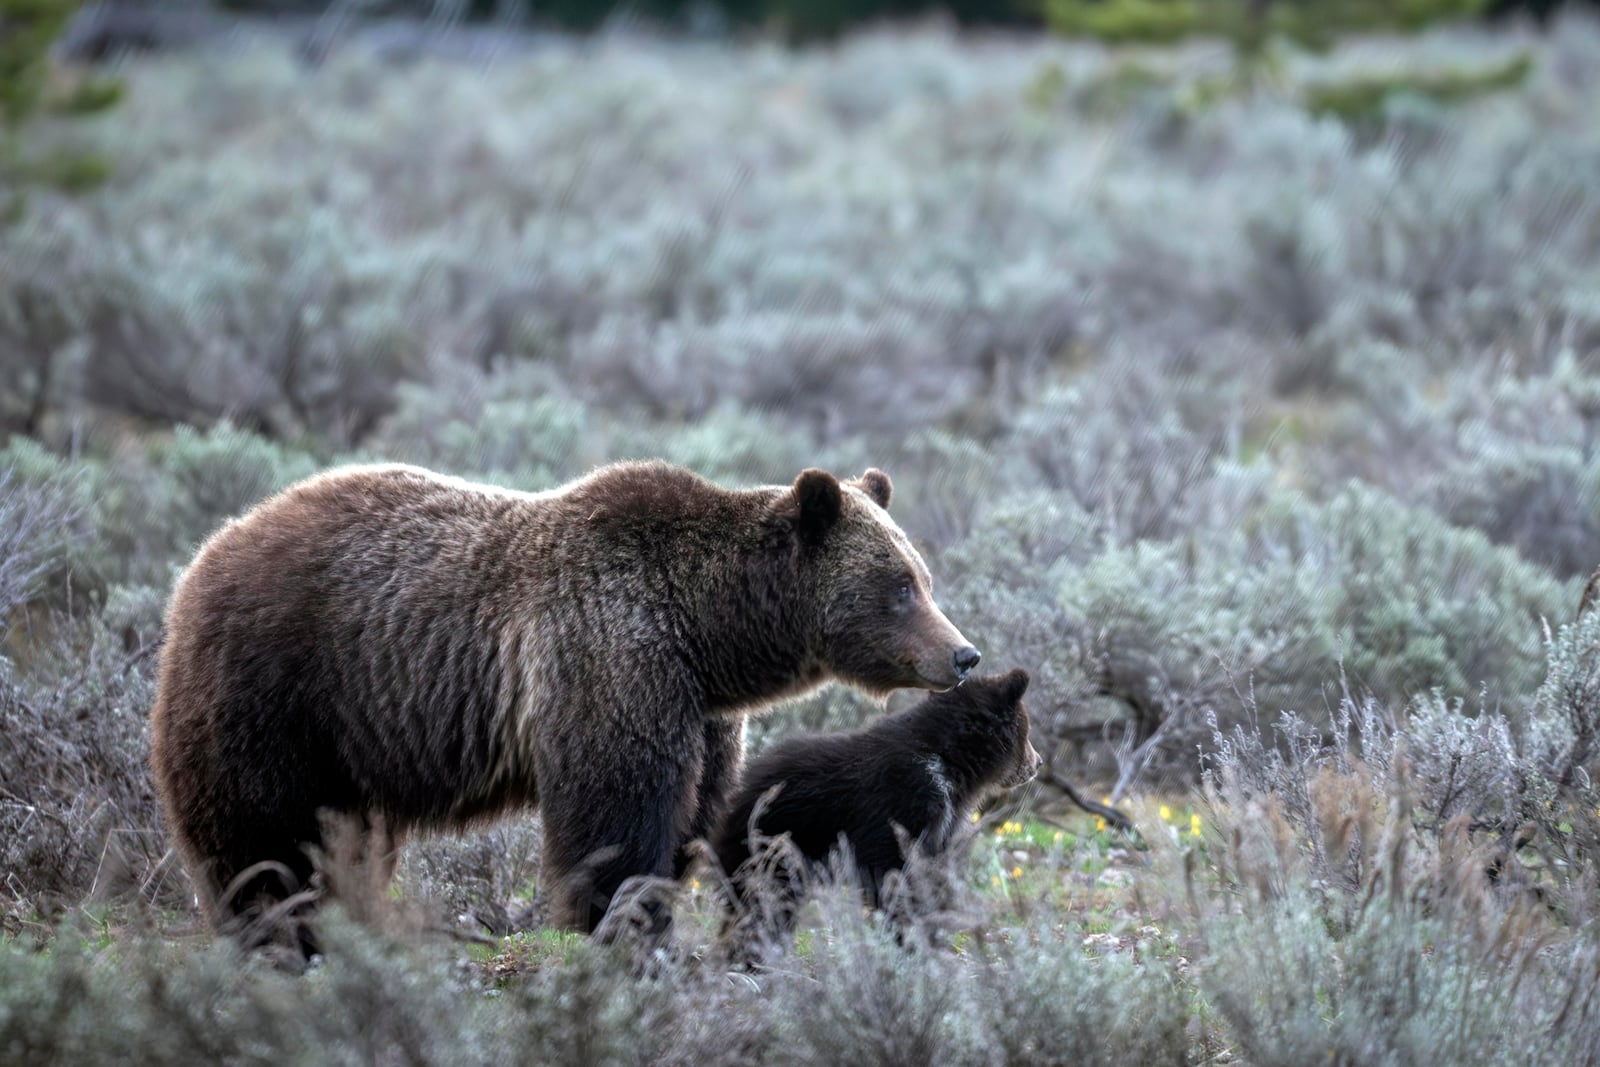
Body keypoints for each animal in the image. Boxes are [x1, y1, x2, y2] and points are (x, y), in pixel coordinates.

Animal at [150, 460, 979, 953]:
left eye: (923, 577)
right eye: (899, 586)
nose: (963, 653)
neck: (708, 632)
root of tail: (206, 553)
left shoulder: (700, 710)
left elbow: (690, 813)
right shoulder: (611, 655)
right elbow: (614, 811)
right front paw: (619, 927)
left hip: (350, 742)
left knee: (342, 840)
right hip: (277, 689)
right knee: (262, 833)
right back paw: (277, 934)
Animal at [710, 662, 1036, 947]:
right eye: (1027, 731)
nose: (1038, 763)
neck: (948, 763)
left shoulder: (942, 821)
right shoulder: (903, 800)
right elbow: (897, 873)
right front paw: (911, 939)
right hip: (775, 842)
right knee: (763, 900)